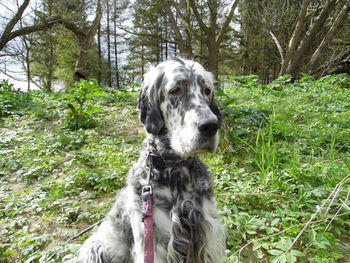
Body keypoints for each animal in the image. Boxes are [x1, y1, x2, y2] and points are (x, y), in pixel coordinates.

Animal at [78, 58, 227, 263]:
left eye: (207, 90)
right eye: (175, 90)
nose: (211, 126)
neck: (175, 172)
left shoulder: (208, 234)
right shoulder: (154, 240)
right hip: (96, 248)